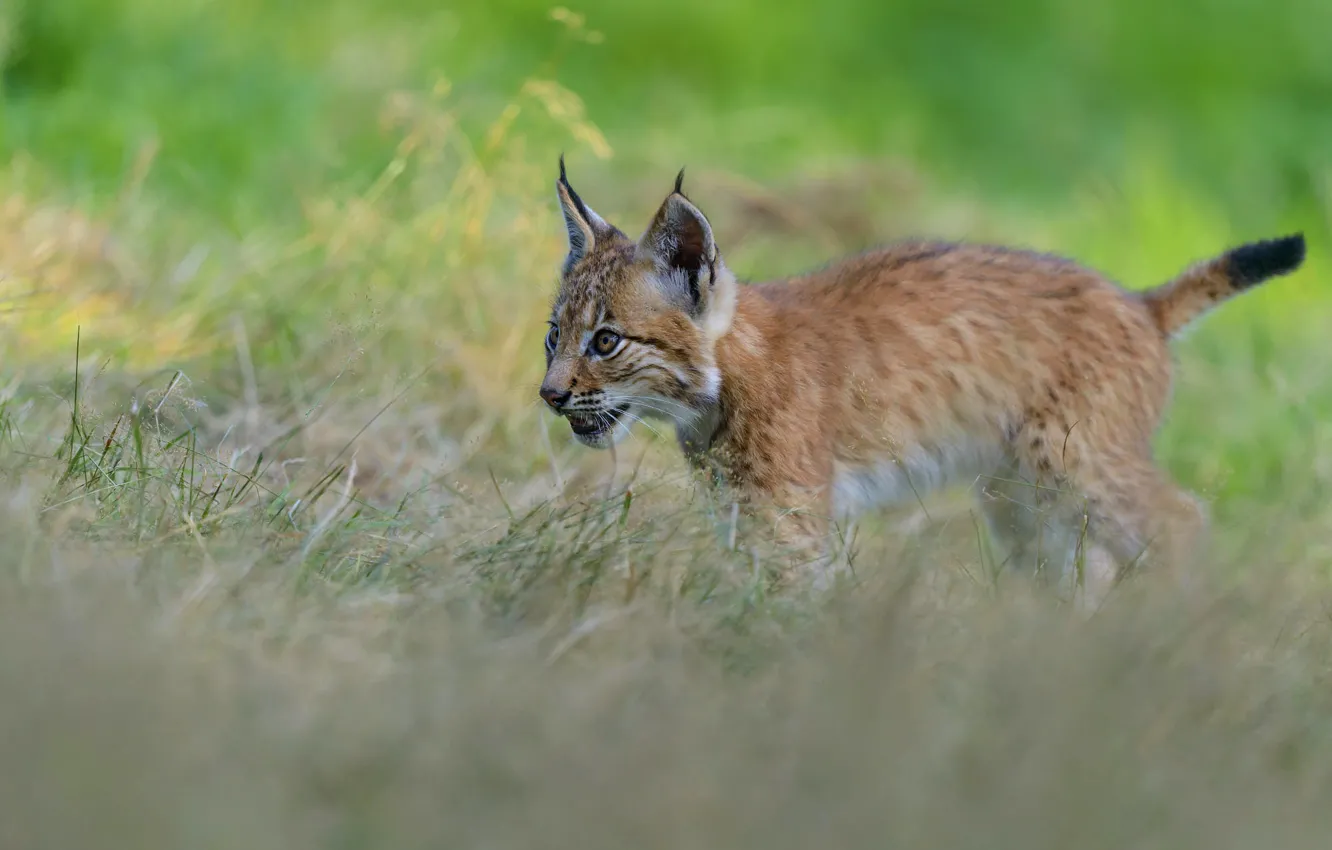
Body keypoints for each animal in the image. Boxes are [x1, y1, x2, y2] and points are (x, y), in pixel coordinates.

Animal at [535, 156, 1305, 602]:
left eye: (606, 341)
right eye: (553, 337)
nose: (550, 395)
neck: (711, 392)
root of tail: (1139, 303)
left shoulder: (788, 521)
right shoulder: (741, 512)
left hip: (1073, 455)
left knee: (1181, 521)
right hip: (1017, 490)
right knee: (1078, 570)